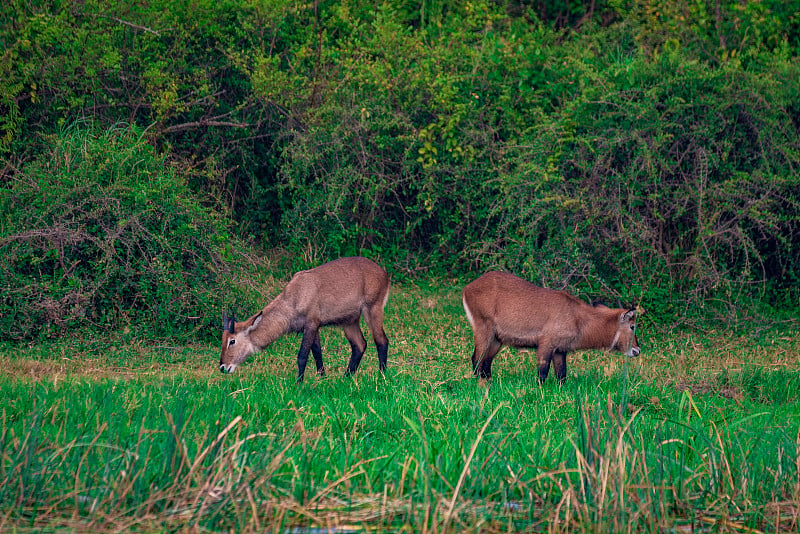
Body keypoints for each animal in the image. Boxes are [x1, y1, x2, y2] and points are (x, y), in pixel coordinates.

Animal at [222, 258, 390, 382]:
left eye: (232, 341)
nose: (222, 367)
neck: (293, 298)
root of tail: (384, 273)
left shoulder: (311, 324)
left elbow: (302, 356)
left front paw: (299, 383)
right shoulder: (311, 327)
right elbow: (317, 353)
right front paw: (322, 378)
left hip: (372, 309)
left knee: (381, 341)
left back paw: (381, 376)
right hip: (349, 320)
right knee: (360, 344)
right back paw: (346, 377)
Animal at [462, 272, 636, 386]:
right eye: (633, 326)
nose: (637, 350)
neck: (577, 317)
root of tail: (467, 288)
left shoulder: (560, 350)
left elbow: (562, 374)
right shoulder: (546, 344)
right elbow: (543, 372)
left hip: (497, 339)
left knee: (486, 361)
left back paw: (490, 384)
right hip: (484, 330)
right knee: (476, 359)